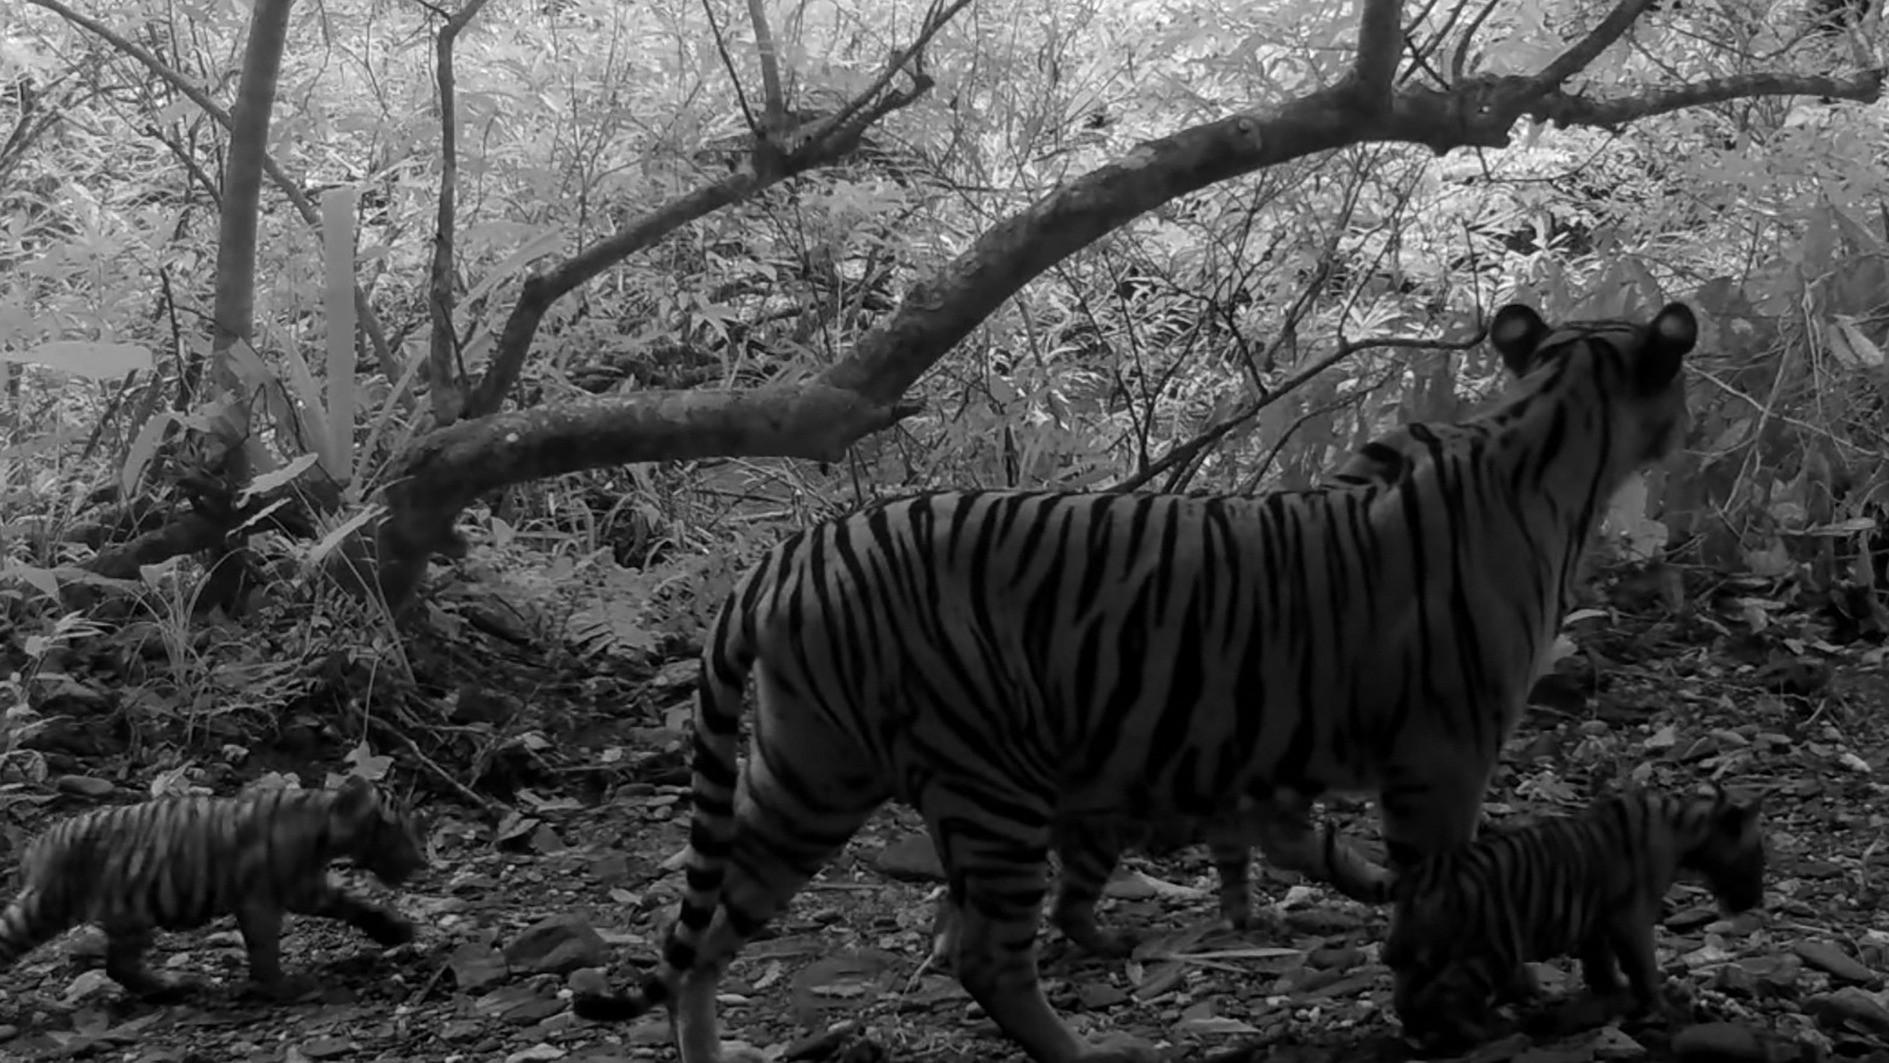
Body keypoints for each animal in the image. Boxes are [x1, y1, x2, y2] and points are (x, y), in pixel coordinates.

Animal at [0, 773, 427, 1000]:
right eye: (397, 832)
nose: (422, 861)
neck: (321, 822)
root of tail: (36, 847)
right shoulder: (261, 898)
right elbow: (264, 946)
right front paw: (282, 985)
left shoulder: (305, 887)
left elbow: (353, 904)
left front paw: (394, 929)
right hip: (61, 905)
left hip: (129, 917)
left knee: (121, 967)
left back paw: (174, 985)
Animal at [570, 299, 1699, 1063]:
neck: (1546, 424)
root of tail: (781, 558)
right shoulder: (1447, 751)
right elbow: (1447, 879)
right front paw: (1463, 993)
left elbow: (1319, 843)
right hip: (985, 778)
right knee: (985, 952)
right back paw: (1084, 1047)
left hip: (805, 775)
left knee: (707, 933)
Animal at [1333, 785, 1765, 1053]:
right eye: (1757, 857)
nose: (1756, 900)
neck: (1685, 828)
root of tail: (1421, 875)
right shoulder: (1632, 915)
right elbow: (1643, 965)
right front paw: (1660, 1007)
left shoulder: (1597, 922)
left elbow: (1601, 964)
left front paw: (1611, 994)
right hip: (1494, 948)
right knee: (1451, 993)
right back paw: (1483, 1031)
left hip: (1425, 950)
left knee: (1407, 993)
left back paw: (1421, 1033)